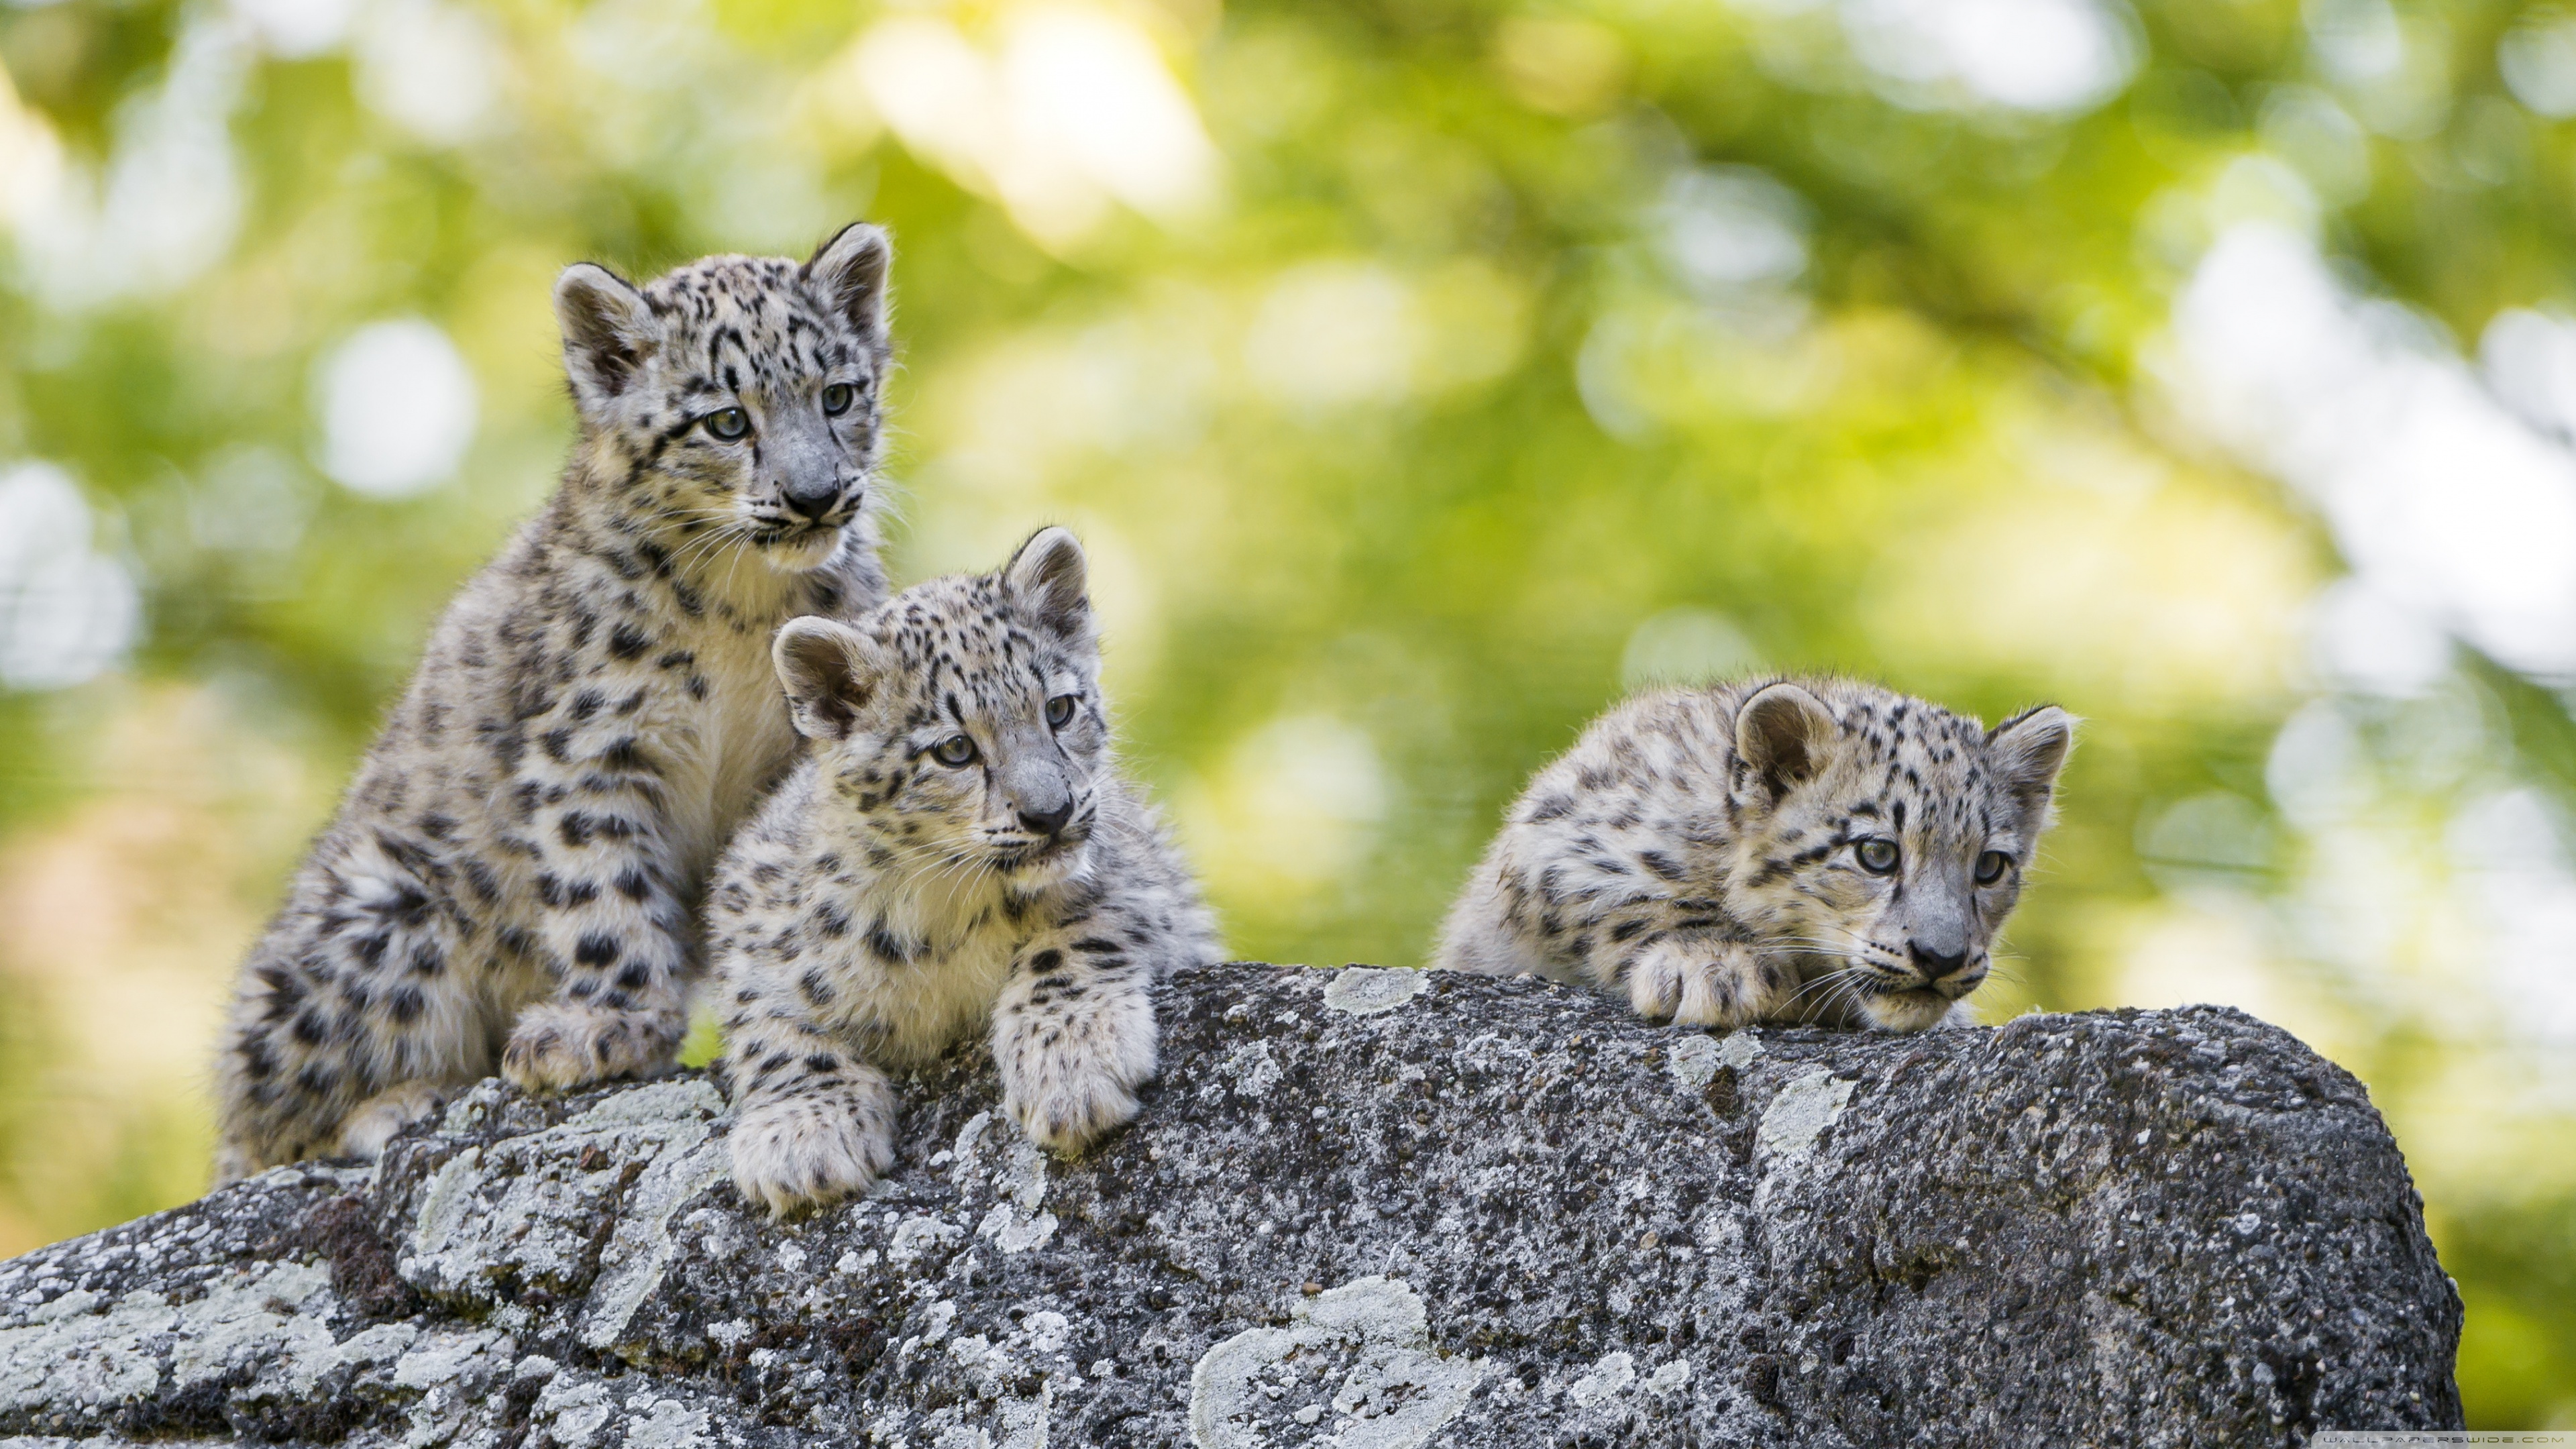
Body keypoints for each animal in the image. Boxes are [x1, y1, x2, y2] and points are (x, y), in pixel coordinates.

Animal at [211, 222, 901, 1180]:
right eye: (727, 419)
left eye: (839, 395)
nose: (814, 495)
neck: (745, 606)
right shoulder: (591, 747)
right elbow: (605, 892)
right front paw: (609, 1027)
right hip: (382, 914)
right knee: (269, 1125)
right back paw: (396, 1106)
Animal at [709, 526, 1219, 1217]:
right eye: (955, 749)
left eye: (1059, 709)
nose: (1051, 813)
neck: (946, 912)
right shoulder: (751, 921)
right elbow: (770, 1025)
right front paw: (802, 1138)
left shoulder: (1139, 878)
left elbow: (1078, 934)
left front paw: (1073, 1065)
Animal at [1434, 676, 2074, 1033]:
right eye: (1876, 853)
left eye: (1989, 866)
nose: (1941, 957)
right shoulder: (1558, 840)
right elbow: (1627, 899)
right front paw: (1716, 968)